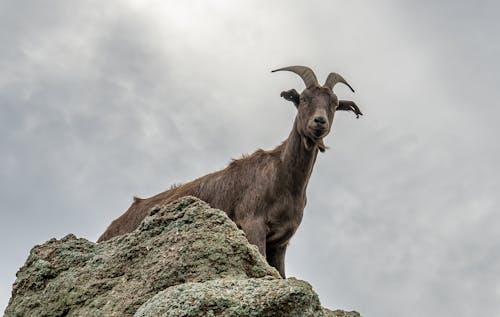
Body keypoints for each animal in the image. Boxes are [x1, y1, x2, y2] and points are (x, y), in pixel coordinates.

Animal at [97, 66, 362, 276]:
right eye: (304, 98)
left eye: (335, 104)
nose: (319, 122)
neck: (283, 179)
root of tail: (108, 231)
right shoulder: (252, 223)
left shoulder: (281, 241)